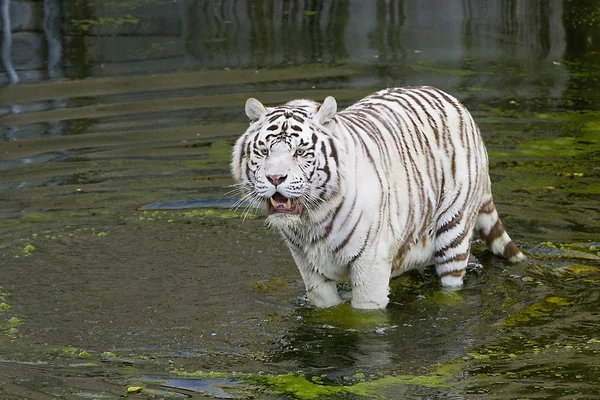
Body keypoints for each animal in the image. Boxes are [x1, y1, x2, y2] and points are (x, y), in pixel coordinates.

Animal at [232, 86, 524, 310]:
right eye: (263, 151)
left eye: (300, 152)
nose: (275, 178)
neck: (311, 221)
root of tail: (454, 101)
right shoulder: (309, 267)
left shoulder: (370, 263)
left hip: (454, 231)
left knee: (451, 283)